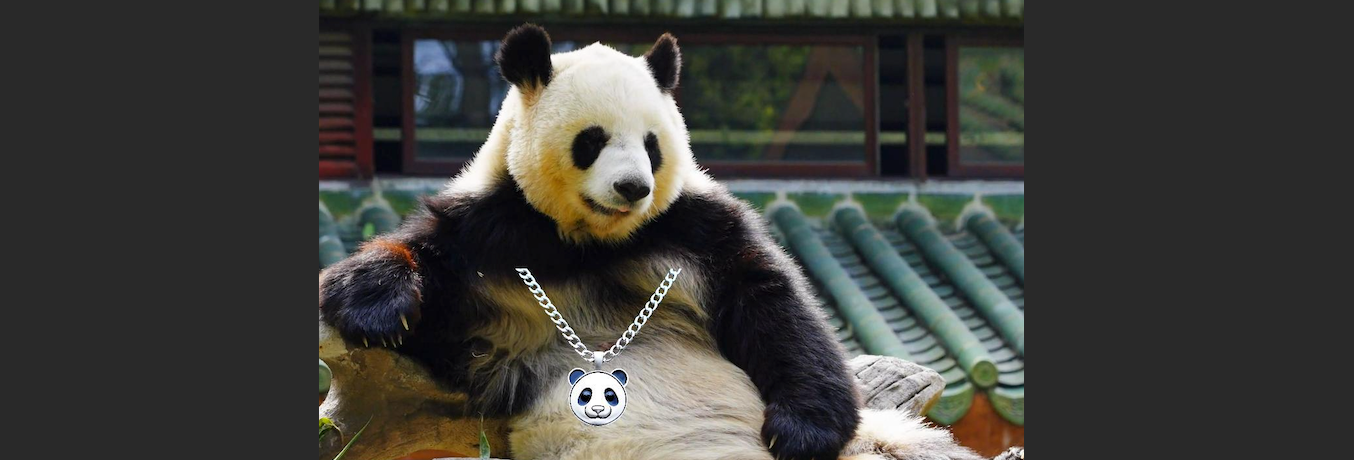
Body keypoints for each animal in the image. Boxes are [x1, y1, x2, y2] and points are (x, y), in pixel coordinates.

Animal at [319, 24, 983, 460]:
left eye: (652, 144)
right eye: (592, 139)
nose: (633, 187)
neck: (590, 242)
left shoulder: (692, 224)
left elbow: (771, 301)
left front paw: (803, 431)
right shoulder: (489, 232)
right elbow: (425, 289)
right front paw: (376, 308)